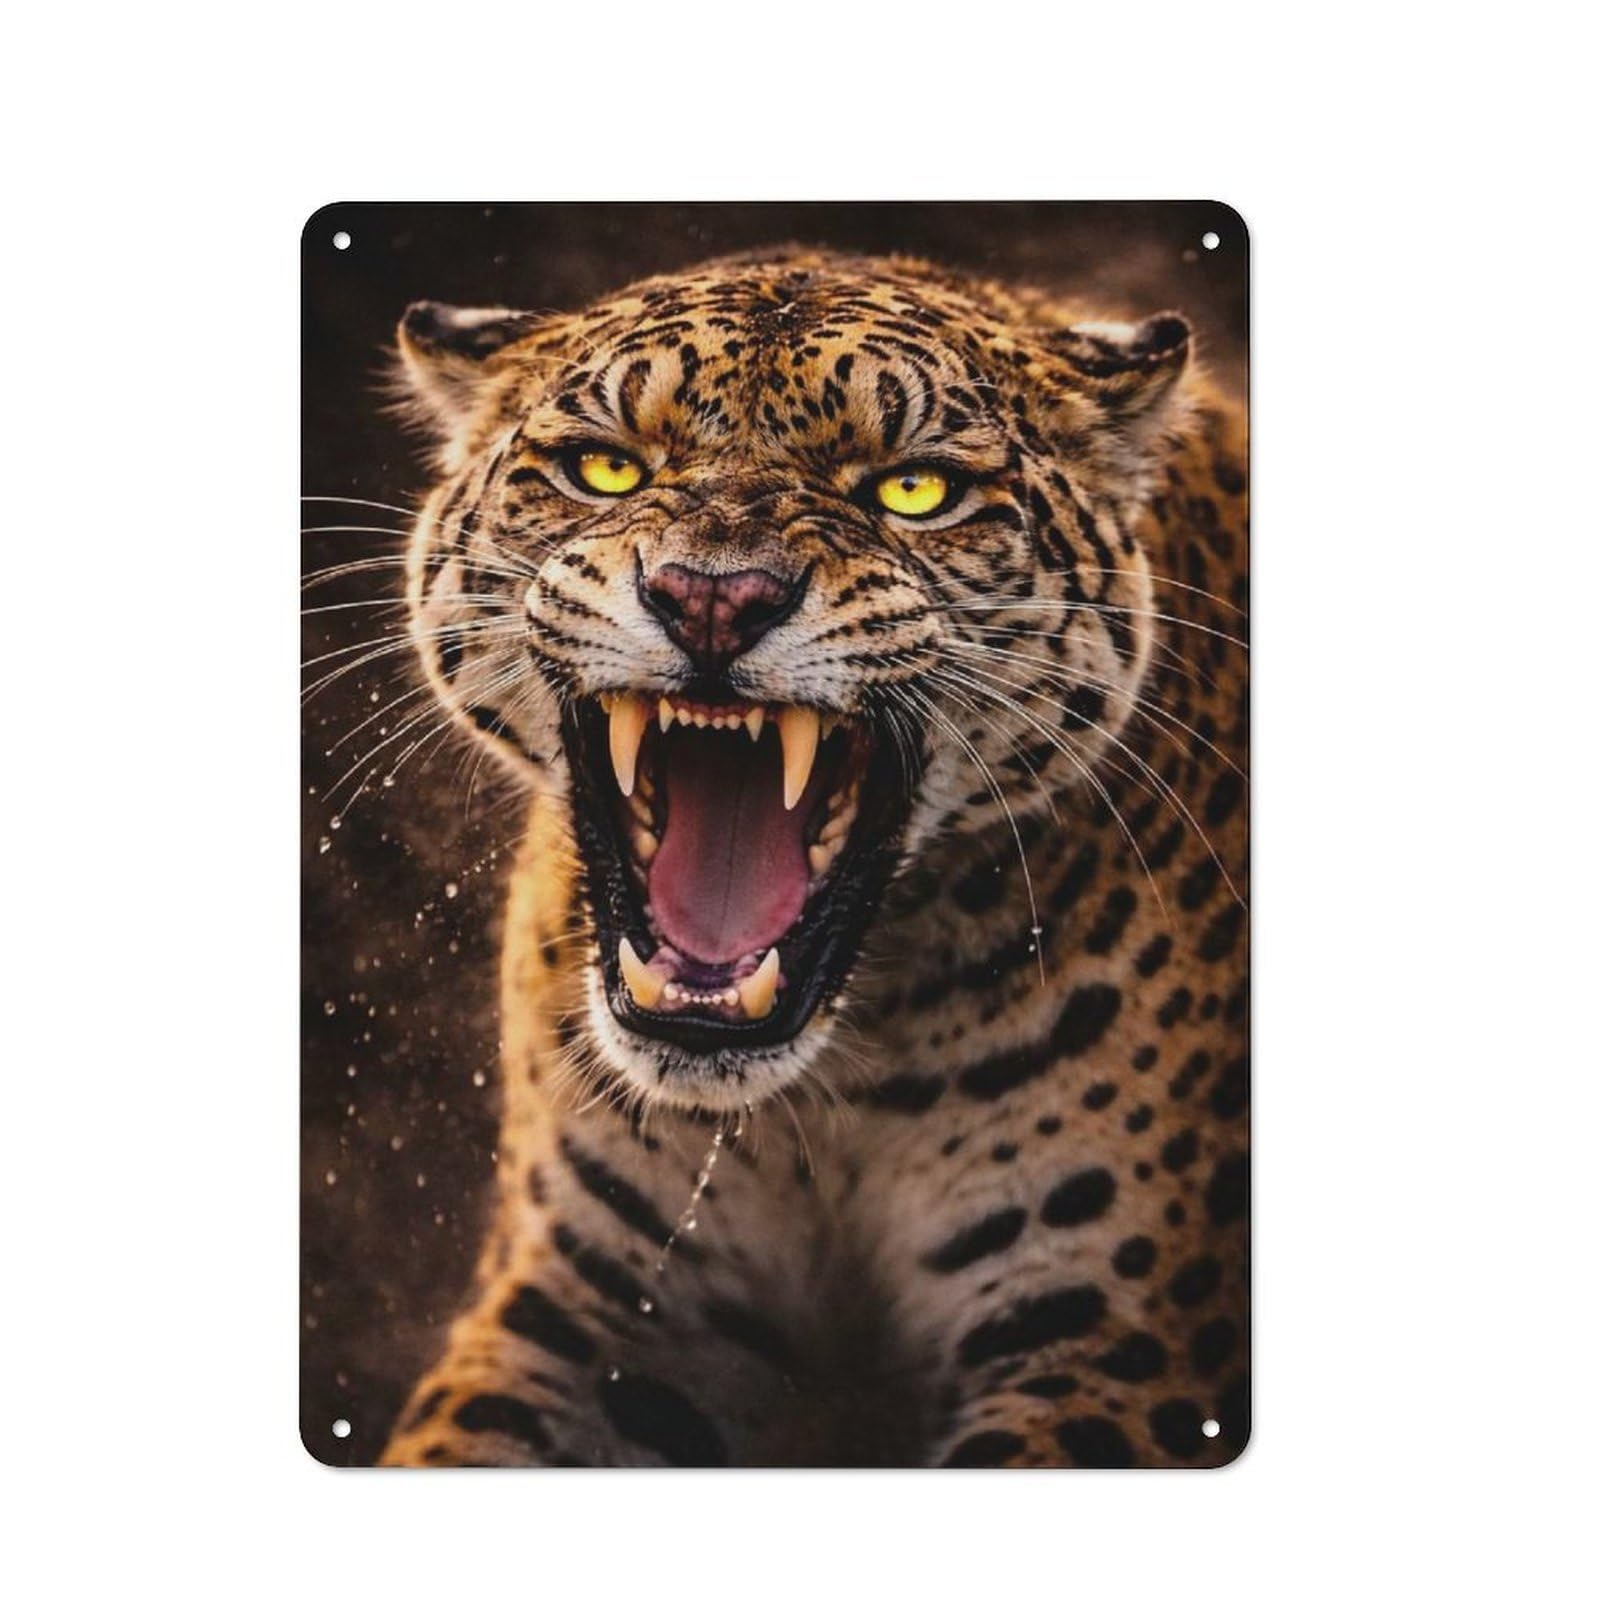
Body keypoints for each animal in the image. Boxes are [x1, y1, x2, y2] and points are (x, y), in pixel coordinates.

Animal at [371, 247, 1249, 1467]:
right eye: (605, 468)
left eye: (913, 491)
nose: (711, 597)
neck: (827, 1105)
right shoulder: (584, 1307)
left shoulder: (1116, 1342)